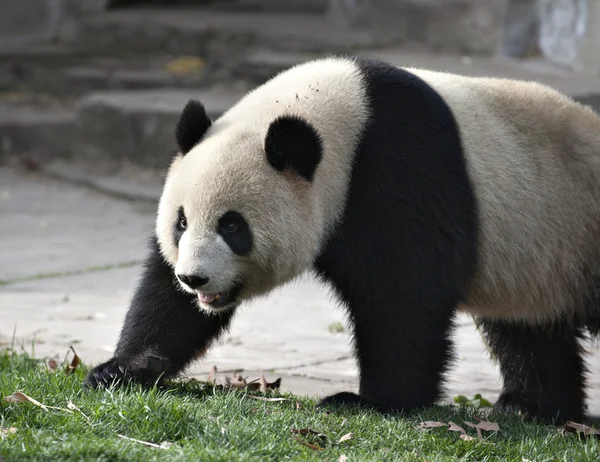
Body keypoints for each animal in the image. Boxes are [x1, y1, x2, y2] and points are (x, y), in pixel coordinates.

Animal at [86, 56, 600, 424]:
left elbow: (405, 294)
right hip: (534, 262)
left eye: (233, 226)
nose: (195, 279)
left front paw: (371, 401)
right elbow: (166, 301)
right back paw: (533, 407)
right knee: (529, 331)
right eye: (181, 223)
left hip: (574, 229)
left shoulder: (400, 169)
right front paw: (125, 368)